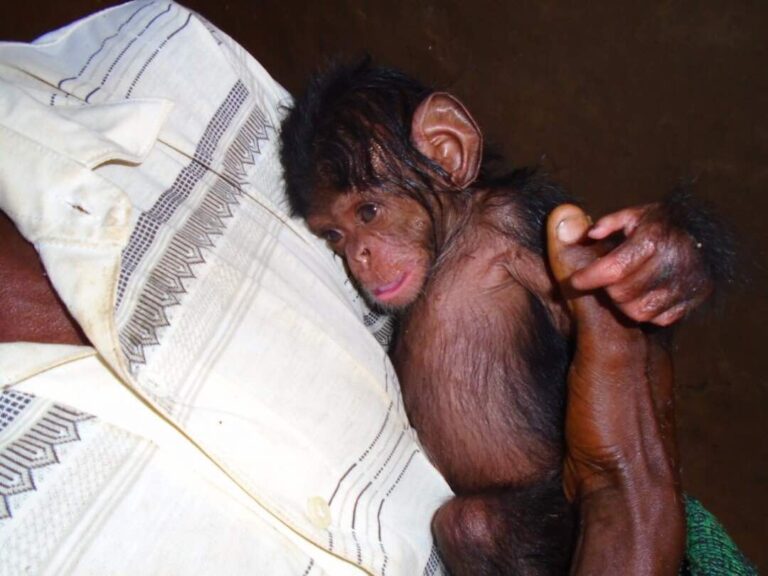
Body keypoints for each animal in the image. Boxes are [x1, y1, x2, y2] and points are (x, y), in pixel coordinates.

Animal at [280, 59, 731, 575]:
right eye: (334, 235)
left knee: (473, 524)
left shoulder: (519, 226)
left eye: (368, 212)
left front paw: (669, 256)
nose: (361, 256)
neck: (453, 240)